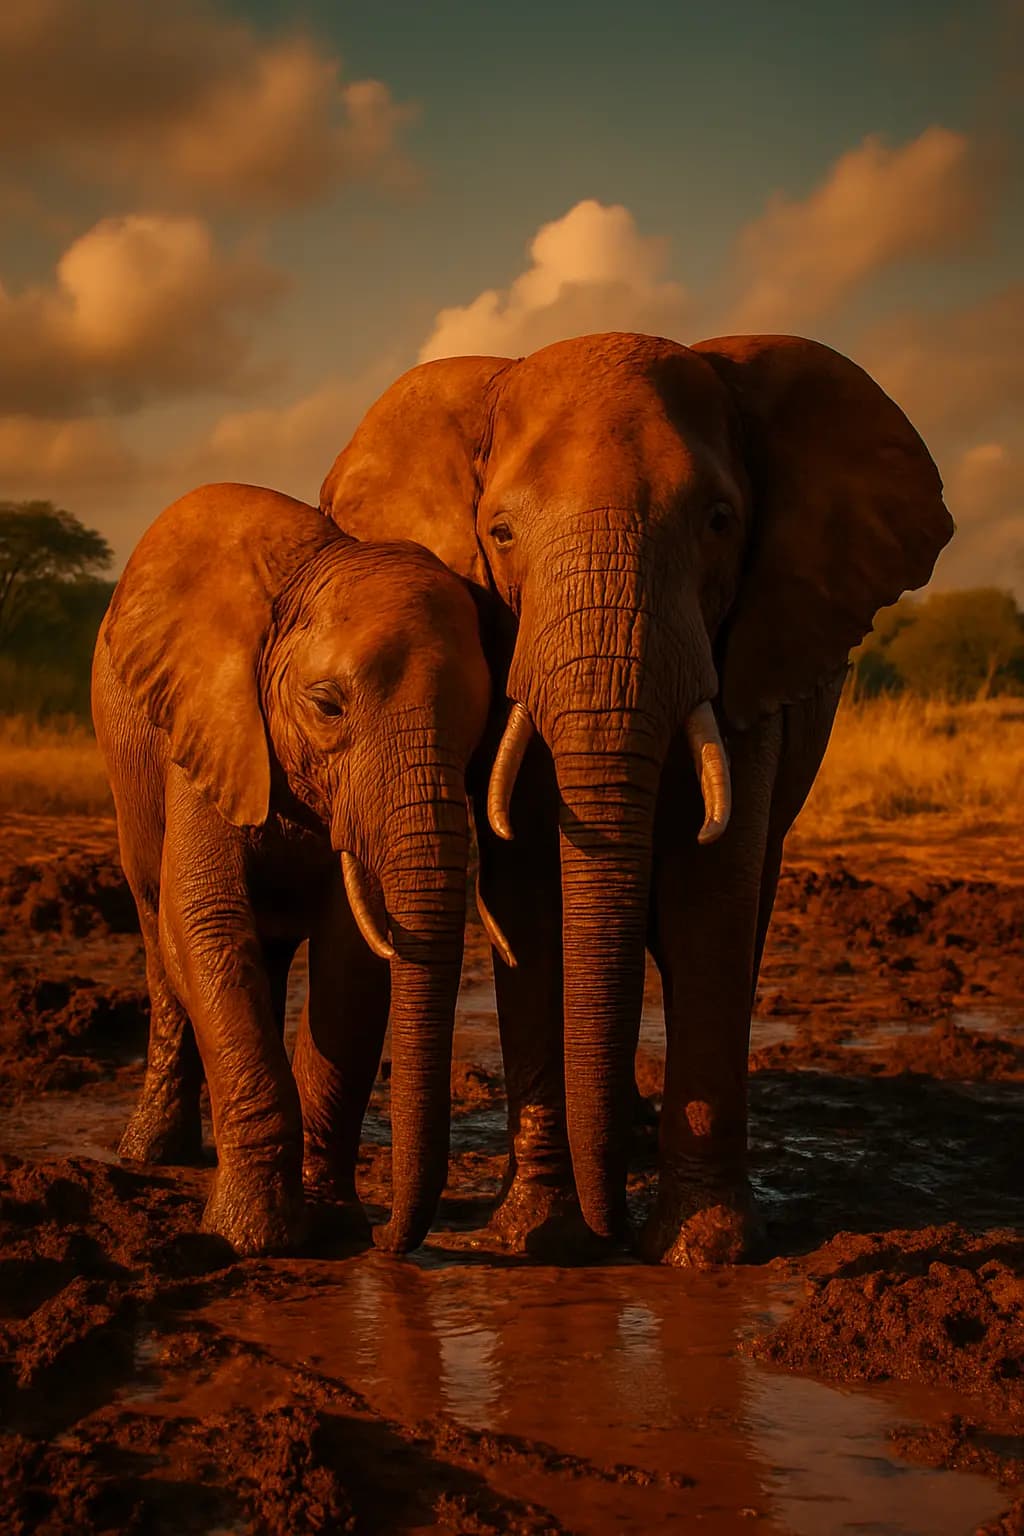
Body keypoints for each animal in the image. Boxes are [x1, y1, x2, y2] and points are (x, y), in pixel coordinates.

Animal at [91, 482, 494, 1257]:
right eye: (327, 706)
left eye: (479, 729)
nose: (390, 1243)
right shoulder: (208, 721)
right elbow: (206, 921)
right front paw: (252, 1238)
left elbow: (351, 963)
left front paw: (332, 1230)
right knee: (160, 936)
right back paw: (153, 1153)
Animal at [318, 331, 954, 1266]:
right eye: (500, 534)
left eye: (720, 522)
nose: (610, 1228)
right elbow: (532, 900)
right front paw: (538, 1239)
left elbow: (708, 903)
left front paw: (704, 1251)